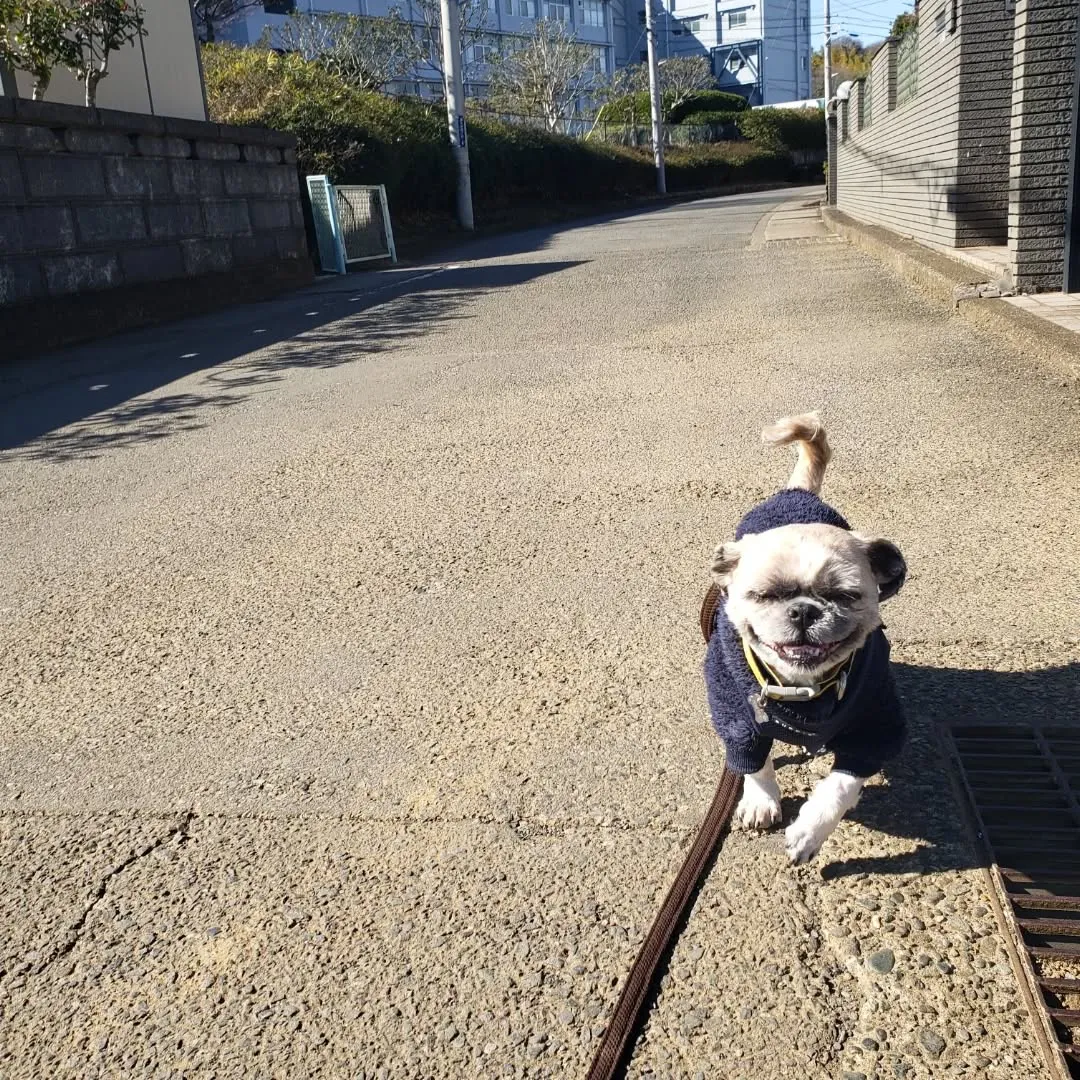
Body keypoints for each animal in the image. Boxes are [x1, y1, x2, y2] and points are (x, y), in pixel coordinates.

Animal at [704, 408, 907, 864]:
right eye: (764, 595)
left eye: (844, 596)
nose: (803, 610)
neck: (802, 688)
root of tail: (797, 492)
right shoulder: (738, 718)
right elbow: (754, 764)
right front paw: (761, 801)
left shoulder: (875, 727)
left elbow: (840, 786)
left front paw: (809, 834)